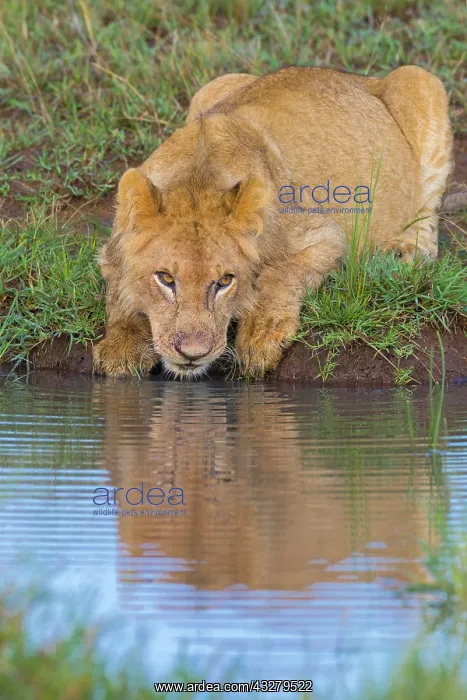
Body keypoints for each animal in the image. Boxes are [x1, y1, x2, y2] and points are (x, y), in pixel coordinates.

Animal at [93, 66, 452, 378]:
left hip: (421, 80)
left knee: (427, 229)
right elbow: (119, 296)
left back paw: (402, 255)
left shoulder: (327, 235)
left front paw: (261, 335)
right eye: (166, 278)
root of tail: (362, 77)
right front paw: (122, 347)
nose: (193, 354)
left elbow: (280, 274)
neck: (197, 177)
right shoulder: (111, 254)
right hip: (212, 85)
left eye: (225, 281)